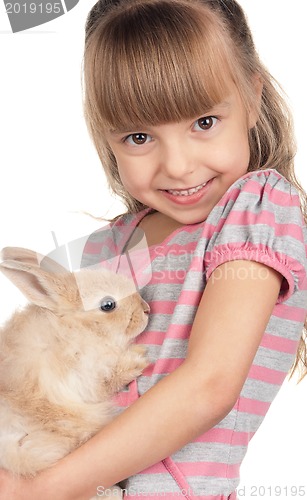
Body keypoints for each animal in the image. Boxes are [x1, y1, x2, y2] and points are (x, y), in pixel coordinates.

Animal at [0, 246, 150, 496]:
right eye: (108, 305)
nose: (147, 309)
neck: (78, 328)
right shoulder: (85, 377)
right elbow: (110, 378)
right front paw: (139, 358)